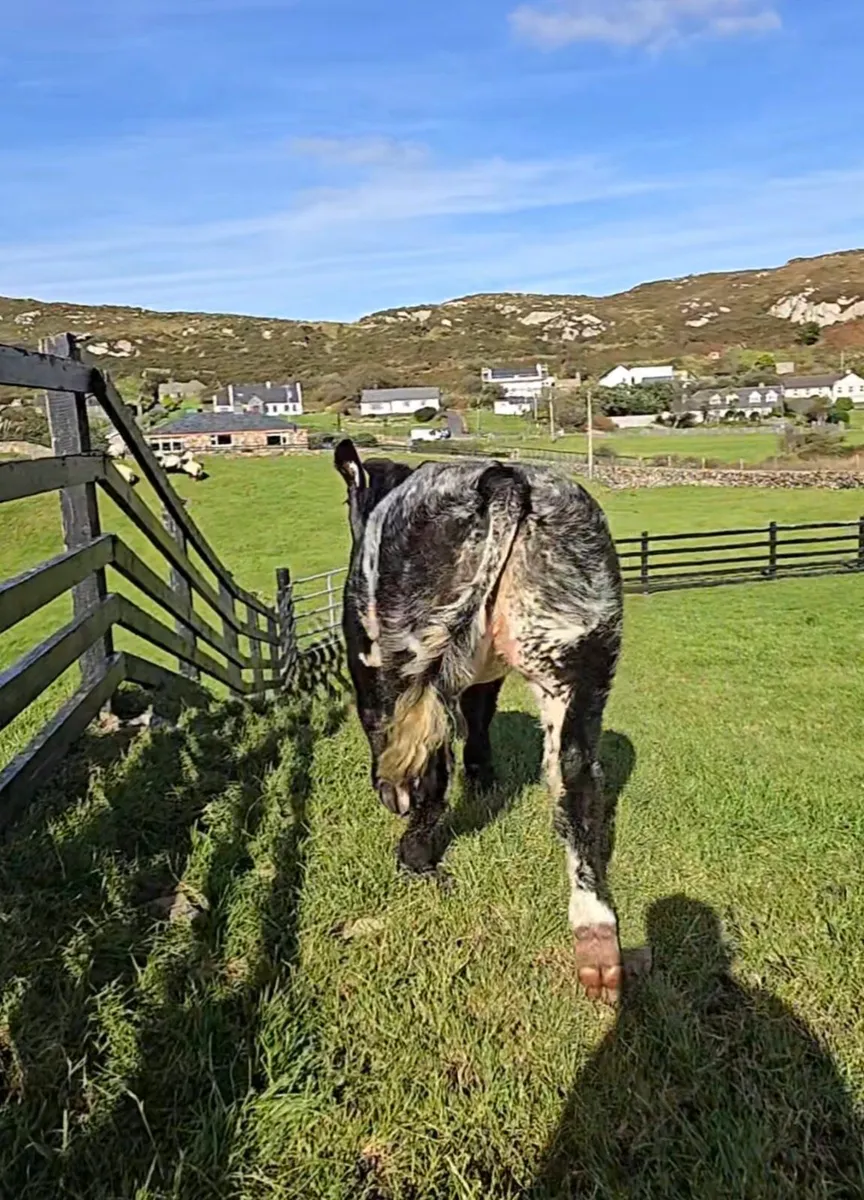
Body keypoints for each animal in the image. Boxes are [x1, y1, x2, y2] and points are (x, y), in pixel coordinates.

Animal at [333, 439, 624, 1004]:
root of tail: (501, 476)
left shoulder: (367, 670)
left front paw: (391, 796)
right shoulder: (486, 675)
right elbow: (481, 719)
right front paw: (485, 778)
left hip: (405, 657)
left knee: (429, 764)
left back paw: (415, 858)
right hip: (579, 651)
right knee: (575, 773)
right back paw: (597, 937)